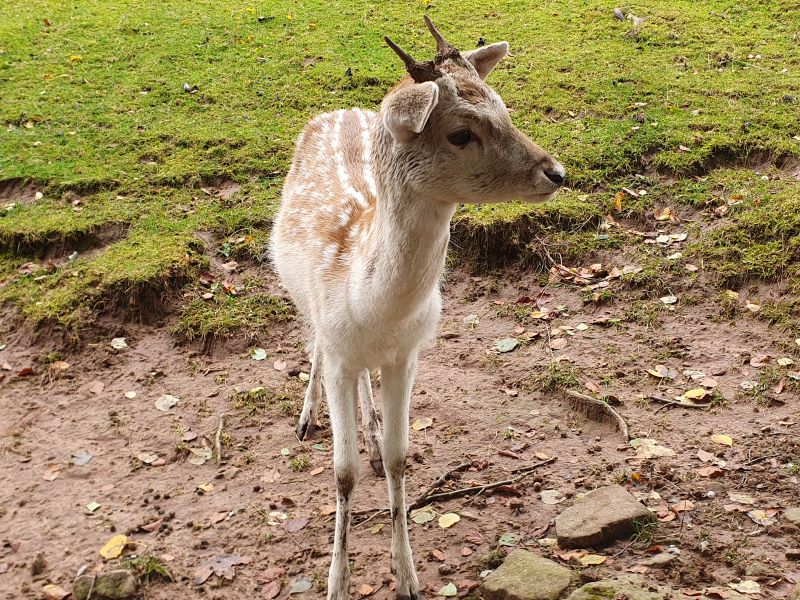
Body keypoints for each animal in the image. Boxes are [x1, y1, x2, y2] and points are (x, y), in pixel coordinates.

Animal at [268, 16, 564, 596]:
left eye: (505, 109)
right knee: (312, 342)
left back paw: (368, 427)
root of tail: (340, 110)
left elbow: (399, 457)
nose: (555, 172)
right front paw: (336, 582)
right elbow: (342, 472)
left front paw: (407, 575)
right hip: (300, 297)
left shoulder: (407, 354)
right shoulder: (339, 352)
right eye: (461, 132)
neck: (374, 307)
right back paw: (308, 418)